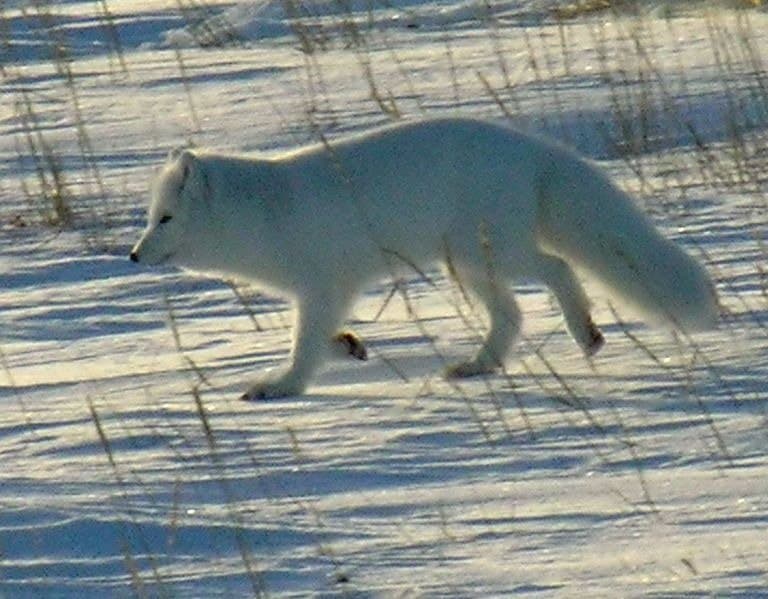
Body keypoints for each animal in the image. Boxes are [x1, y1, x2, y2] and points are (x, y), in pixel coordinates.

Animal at [129, 116, 716, 398]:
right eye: (150, 216)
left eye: (166, 219)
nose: (133, 255)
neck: (266, 215)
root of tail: (531, 147)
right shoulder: (330, 291)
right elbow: (323, 337)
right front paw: (349, 347)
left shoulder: (322, 286)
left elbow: (303, 343)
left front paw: (283, 387)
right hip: (467, 264)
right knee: (512, 314)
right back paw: (479, 366)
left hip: (487, 252)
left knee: (557, 268)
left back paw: (585, 333)